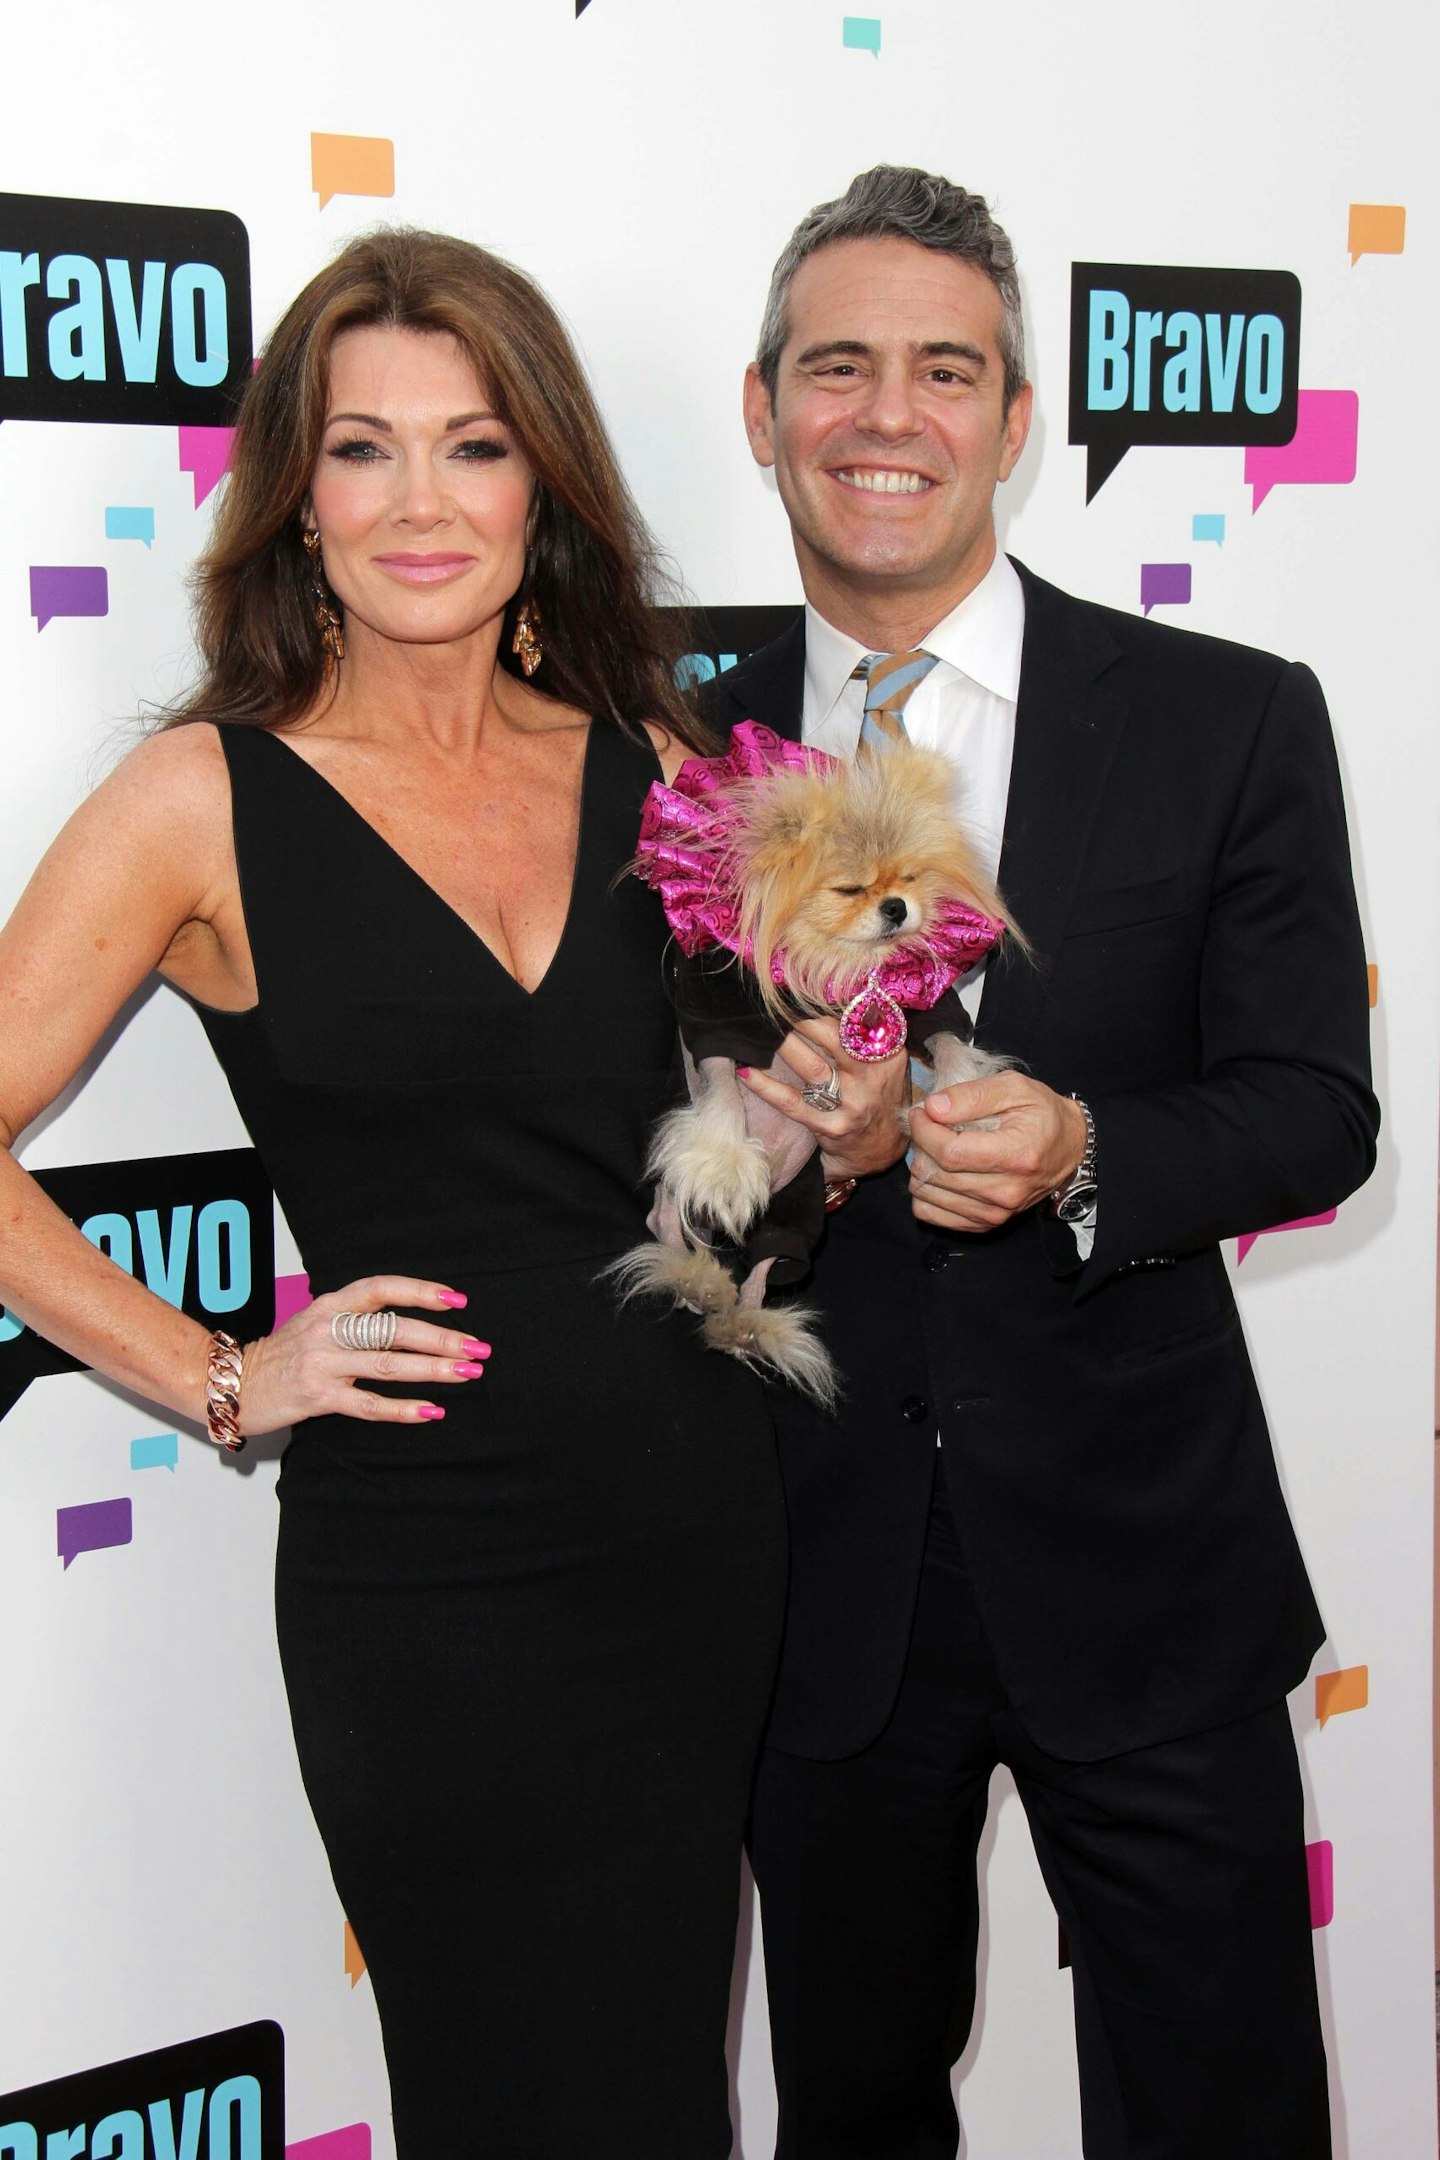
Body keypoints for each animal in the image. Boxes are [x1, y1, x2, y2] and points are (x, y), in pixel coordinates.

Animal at [613, 717, 1019, 1408]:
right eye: (850, 888)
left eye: (909, 880)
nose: (896, 909)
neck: (830, 962)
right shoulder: (720, 1021)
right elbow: (722, 1090)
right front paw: (725, 1161)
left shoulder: (923, 1006)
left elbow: (949, 1046)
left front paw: (966, 1113)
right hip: (691, 1199)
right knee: (665, 1217)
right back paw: (695, 1279)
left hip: (797, 1213)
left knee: (760, 1270)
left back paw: (741, 1324)